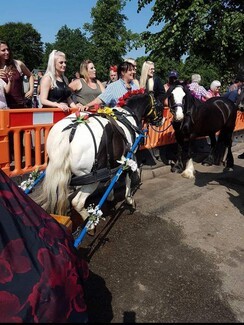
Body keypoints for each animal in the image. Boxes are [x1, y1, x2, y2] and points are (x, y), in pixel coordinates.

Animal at [35, 90, 162, 223]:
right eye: (159, 104)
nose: (161, 121)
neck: (128, 115)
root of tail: (69, 133)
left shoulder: (112, 162)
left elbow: (112, 178)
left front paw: (110, 195)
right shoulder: (129, 157)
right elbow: (127, 178)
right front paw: (129, 199)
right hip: (92, 178)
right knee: (77, 202)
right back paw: (89, 220)